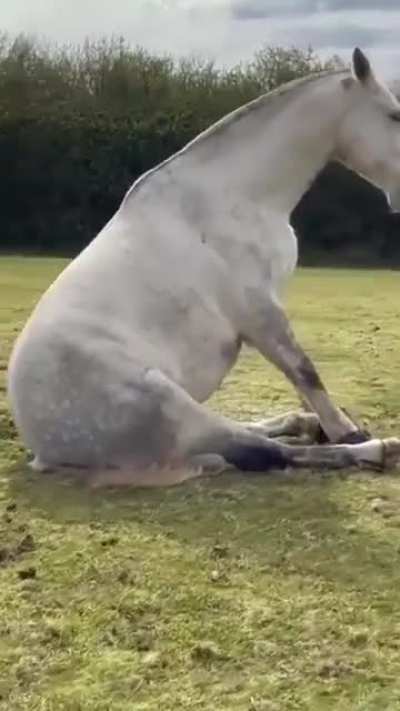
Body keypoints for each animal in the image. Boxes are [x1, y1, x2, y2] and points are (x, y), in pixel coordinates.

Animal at [7, 48, 400, 487]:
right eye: (394, 115)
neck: (235, 194)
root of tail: (42, 450)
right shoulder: (259, 313)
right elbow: (304, 371)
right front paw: (347, 430)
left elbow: (301, 377)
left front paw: (329, 423)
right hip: (173, 406)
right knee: (264, 452)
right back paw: (376, 447)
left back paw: (304, 425)